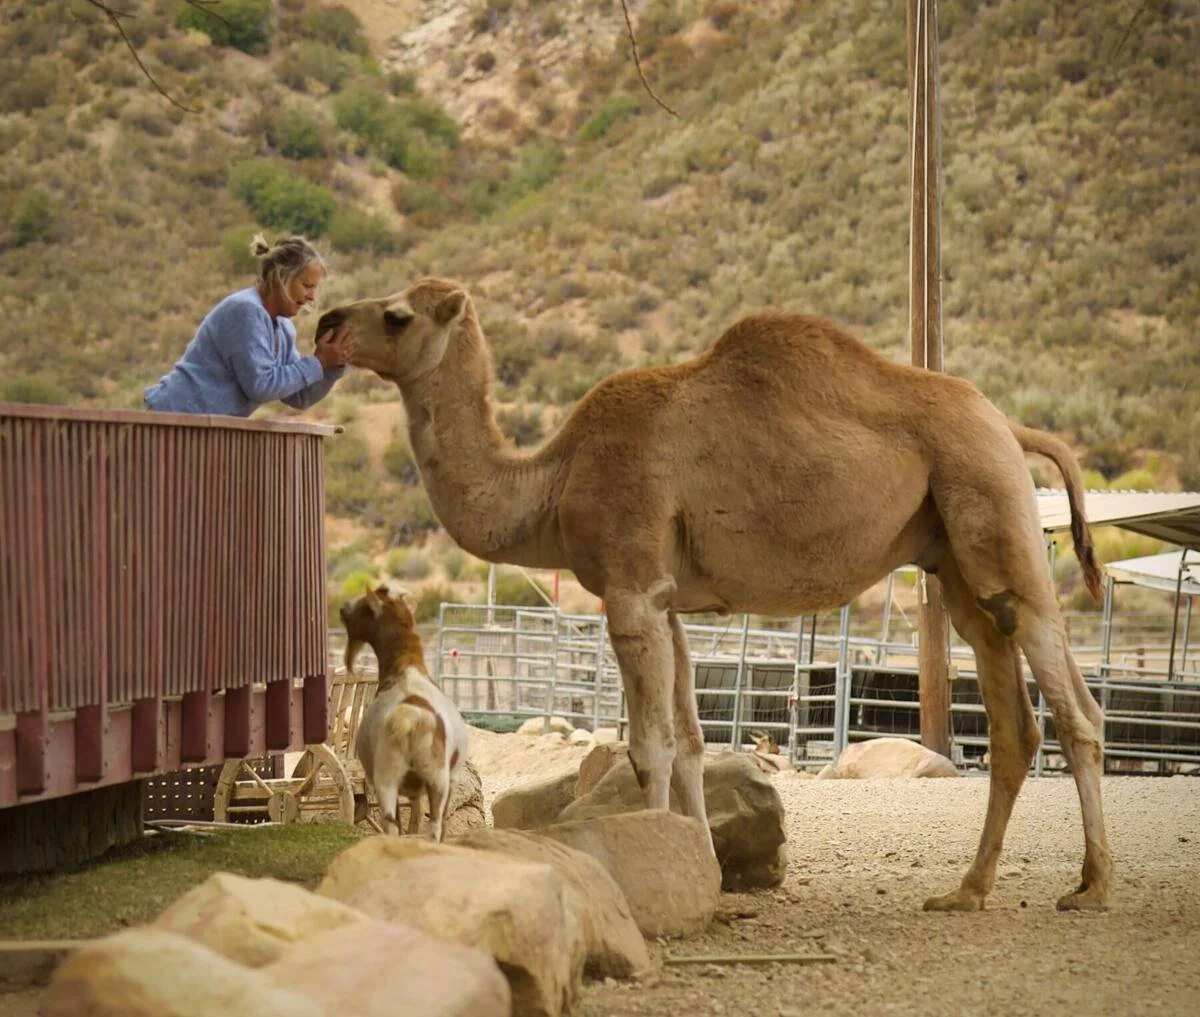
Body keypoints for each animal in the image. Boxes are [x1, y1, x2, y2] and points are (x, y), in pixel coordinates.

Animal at [317, 277, 1112, 912]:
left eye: (396, 315)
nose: (326, 323)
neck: (556, 478)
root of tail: (1011, 426)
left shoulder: (631, 588)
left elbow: (648, 747)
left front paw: (656, 869)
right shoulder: (669, 602)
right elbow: (692, 744)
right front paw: (702, 866)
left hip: (995, 511)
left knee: (1076, 707)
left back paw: (1092, 885)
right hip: (955, 559)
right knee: (1012, 715)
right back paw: (966, 891)